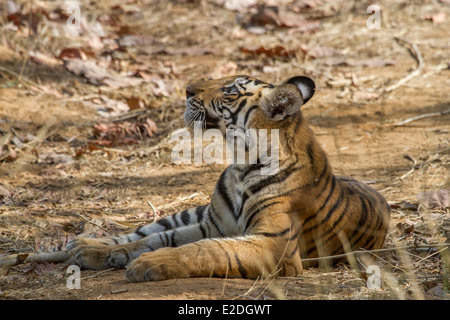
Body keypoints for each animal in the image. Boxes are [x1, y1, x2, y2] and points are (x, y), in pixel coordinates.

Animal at [67, 75, 390, 282]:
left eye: (230, 91)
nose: (187, 90)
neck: (240, 166)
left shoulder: (274, 245)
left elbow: (207, 250)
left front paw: (152, 263)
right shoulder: (213, 225)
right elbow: (159, 238)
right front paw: (114, 253)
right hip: (192, 212)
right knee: (144, 230)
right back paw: (85, 246)